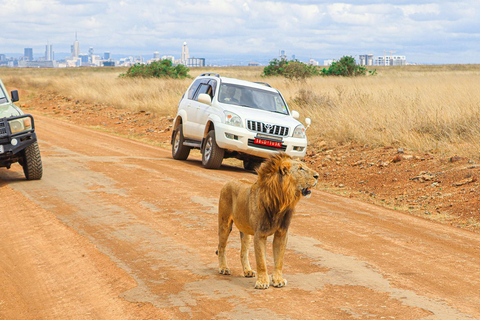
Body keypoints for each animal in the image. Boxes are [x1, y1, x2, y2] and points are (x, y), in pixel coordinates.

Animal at [218, 154, 318, 288]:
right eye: (301, 168)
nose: (317, 176)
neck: (282, 200)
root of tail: (229, 181)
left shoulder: (282, 233)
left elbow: (279, 260)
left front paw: (278, 280)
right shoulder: (260, 234)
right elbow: (261, 261)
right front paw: (262, 282)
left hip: (246, 231)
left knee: (243, 251)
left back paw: (247, 271)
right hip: (225, 223)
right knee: (221, 246)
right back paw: (223, 268)